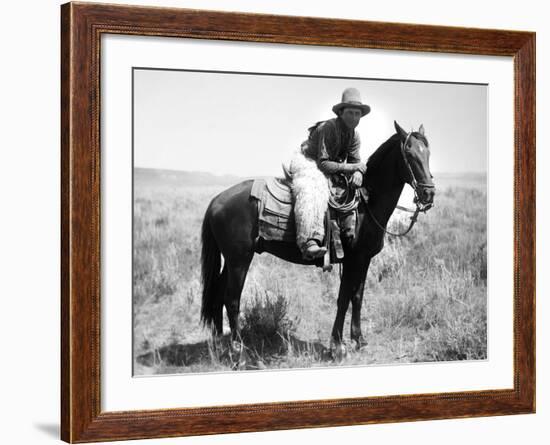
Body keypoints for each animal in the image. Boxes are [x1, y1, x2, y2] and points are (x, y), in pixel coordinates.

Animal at [201, 119, 438, 356]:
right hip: (239, 260)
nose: (429, 193)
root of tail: (216, 200)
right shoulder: (353, 259)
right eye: (409, 153)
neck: (365, 203)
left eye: (428, 153)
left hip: (230, 260)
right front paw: (337, 345)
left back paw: (221, 342)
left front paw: (359, 339)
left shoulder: (364, 260)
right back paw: (237, 350)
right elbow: (343, 298)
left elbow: (357, 297)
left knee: (219, 295)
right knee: (232, 299)